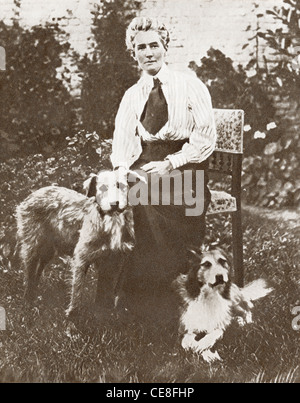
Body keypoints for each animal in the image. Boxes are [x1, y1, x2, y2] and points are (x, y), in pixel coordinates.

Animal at [16, 169, 142, 318]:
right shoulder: (82, 258)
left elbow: (106, 289)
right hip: (33, 246)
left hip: (48, 250)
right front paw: (73, 315)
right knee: (29, 273)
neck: (111, 221)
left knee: (38, 270)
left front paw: (104, 312)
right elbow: (77, 289)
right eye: (102, 188)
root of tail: (34, 193)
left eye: (120, 185)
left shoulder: (114, 261)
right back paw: (28, 300)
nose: (114, 204)